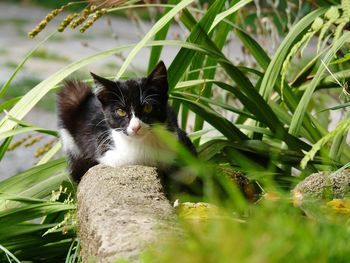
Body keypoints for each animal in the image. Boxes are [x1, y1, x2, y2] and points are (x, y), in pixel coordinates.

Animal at [56, 61, 196, 184]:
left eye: (148, 108)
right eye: (121, 111)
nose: (136, 127)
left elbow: (189, 171)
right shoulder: (106, 151)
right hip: (72, 95)